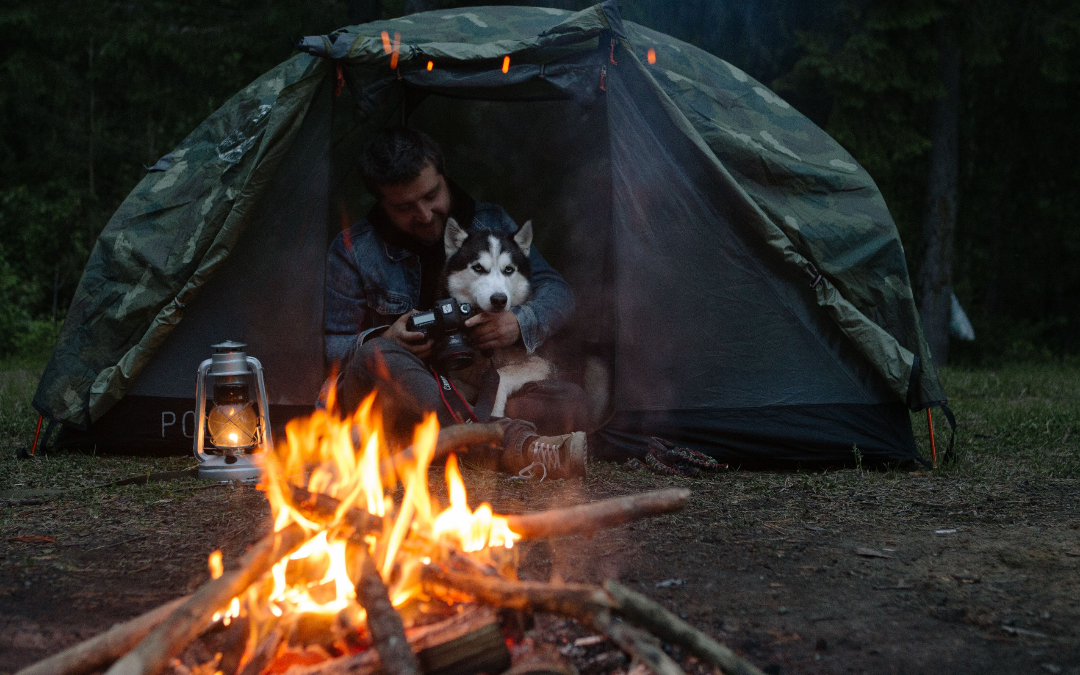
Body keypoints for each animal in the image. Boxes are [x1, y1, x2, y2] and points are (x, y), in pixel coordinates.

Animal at [440, 217, 552, 416]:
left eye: (508, 270)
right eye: (478, 267)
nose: (499, 299)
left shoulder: (542, 364)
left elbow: (501, 375)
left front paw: (494, 411)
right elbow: (457, 387)